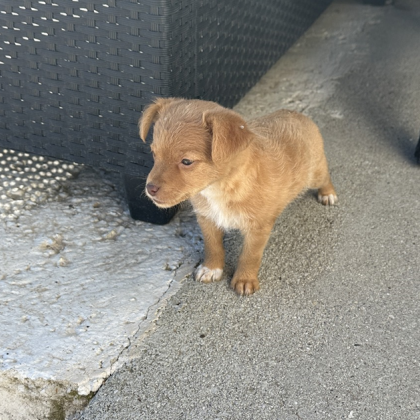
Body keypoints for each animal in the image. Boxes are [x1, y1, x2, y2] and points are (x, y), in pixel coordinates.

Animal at [139, 98, 336, 296]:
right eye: (154, 154)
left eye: (186, 162)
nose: (150, 188)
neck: (219, 188)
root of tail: (296, 113)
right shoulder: (207, 218)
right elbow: (213, 247)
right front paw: (212, 268)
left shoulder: (258, 227)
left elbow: (250, 255)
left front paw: (245, 279)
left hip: (314, 173)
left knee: (325, 175)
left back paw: (328, 194)